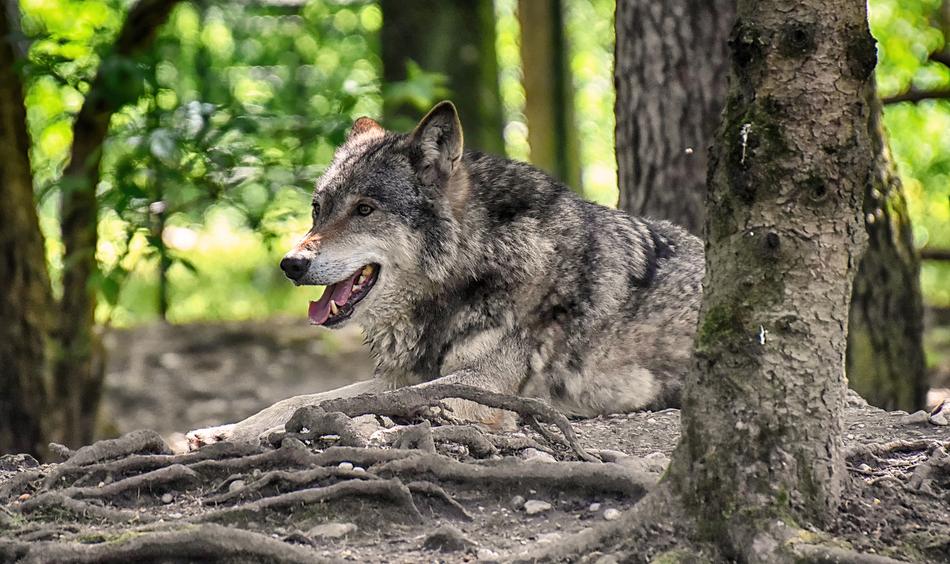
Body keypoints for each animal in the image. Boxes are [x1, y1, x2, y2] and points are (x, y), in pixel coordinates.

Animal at [186, 101, 703, 449]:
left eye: (364, 210)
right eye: (318, 209)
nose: (291, 264)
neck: (474, 268)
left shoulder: (479, 389)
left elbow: (364, 405)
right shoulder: (407, 373)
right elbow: (297, 399)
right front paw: (222, 432)